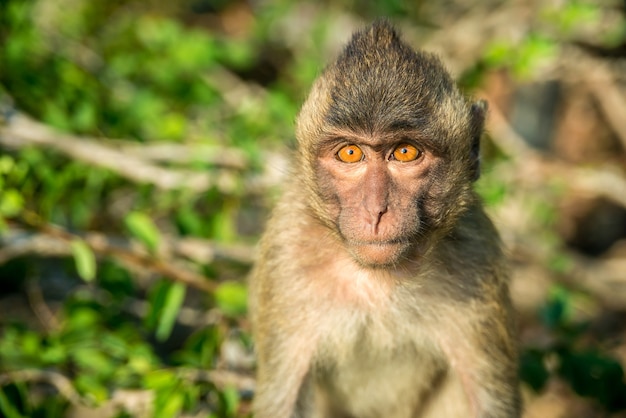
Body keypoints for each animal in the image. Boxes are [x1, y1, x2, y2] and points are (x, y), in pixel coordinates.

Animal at [246, 20, 520, 418]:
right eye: (350, 153)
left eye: (405, 152)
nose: (376, 210)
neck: (377, 281)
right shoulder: (287, 255)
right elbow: (285, 399)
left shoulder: (477, 258)